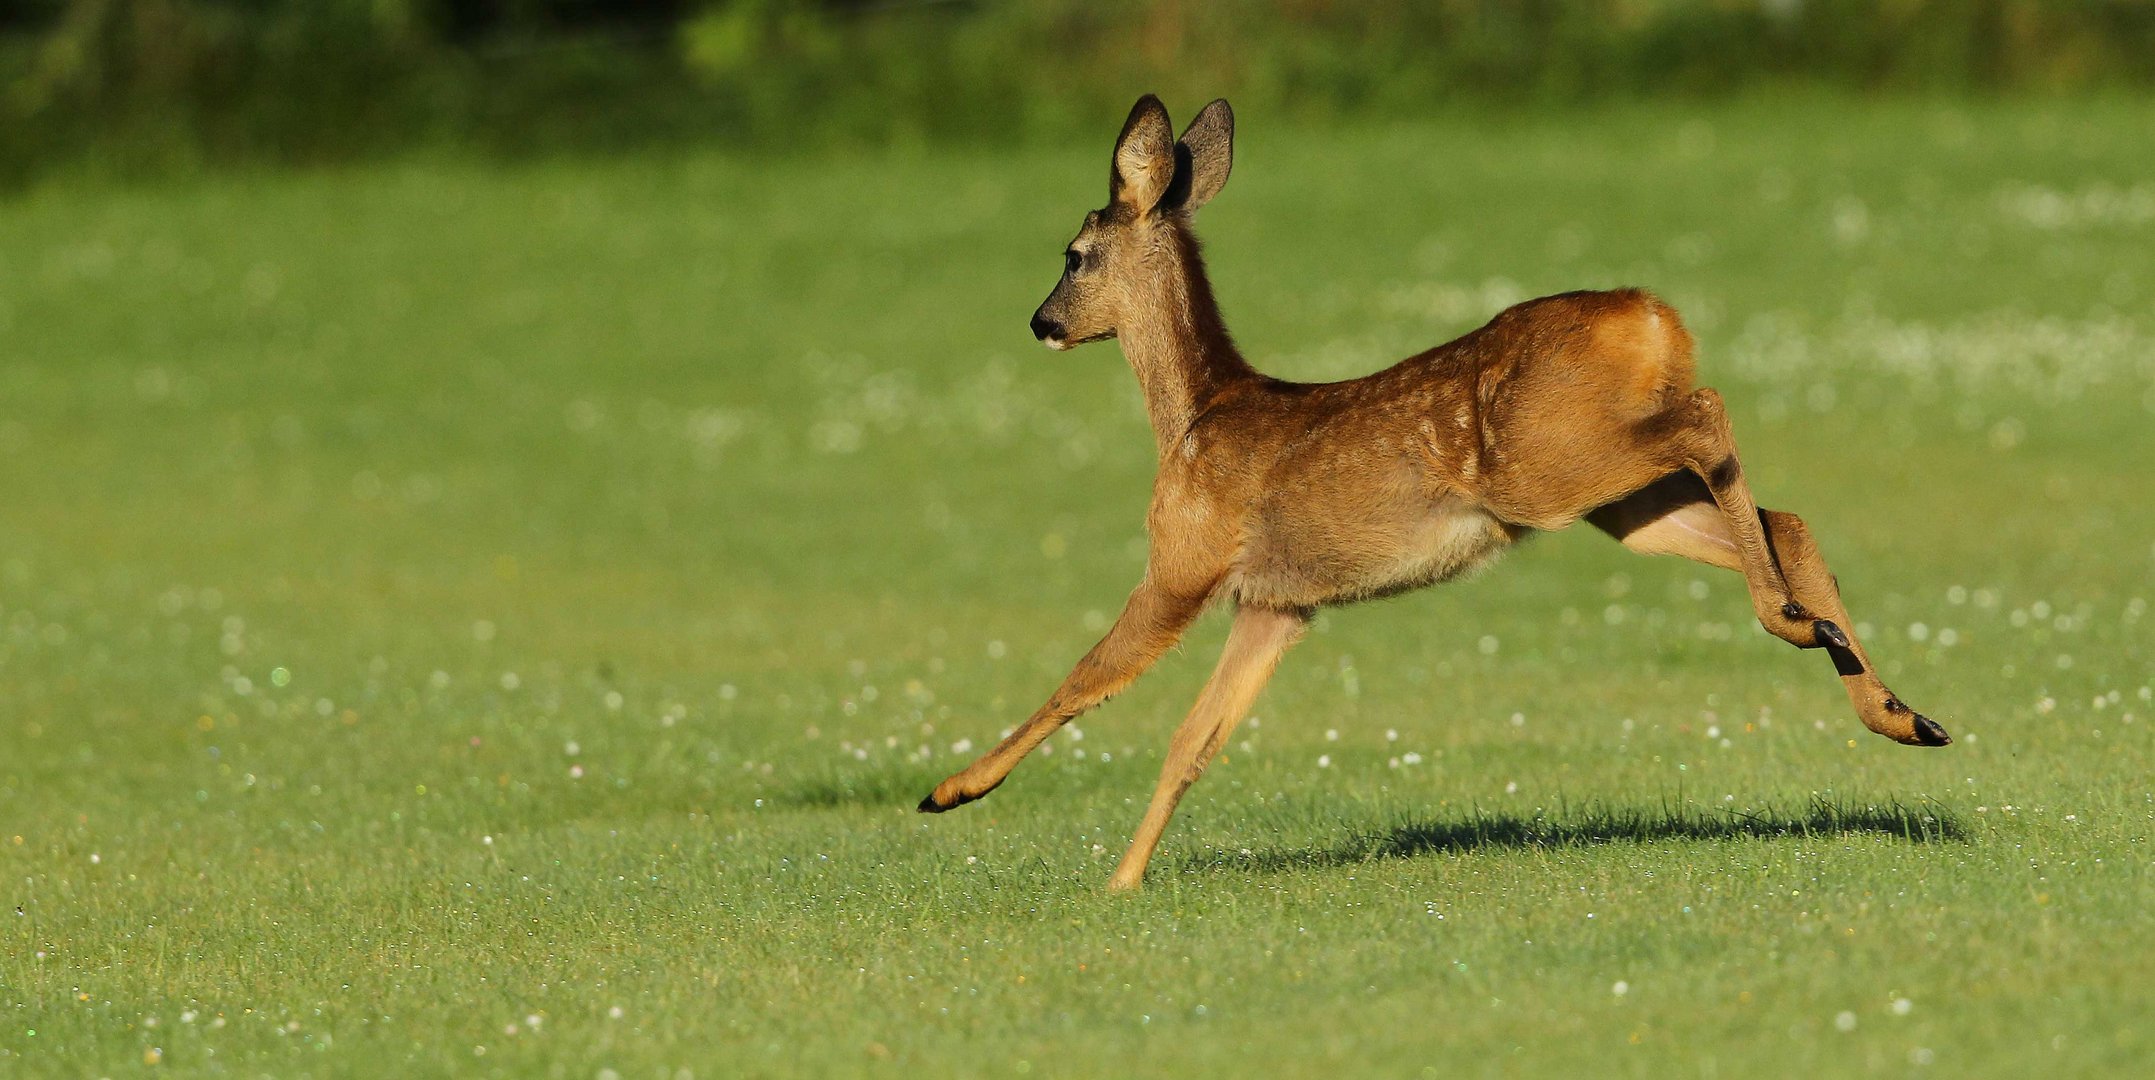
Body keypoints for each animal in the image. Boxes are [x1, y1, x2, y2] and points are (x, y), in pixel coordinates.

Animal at [913, 92, 1956, 888]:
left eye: (1072, 253)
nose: (1040, 321)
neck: (1196, 417)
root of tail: (1656, 318)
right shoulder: (1277, 604)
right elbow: (1194, 739)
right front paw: (1126, 880)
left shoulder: (1184, 556)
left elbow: (1086, 676)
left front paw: (952, 793)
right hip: (1619, 503)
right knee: (1783, 510)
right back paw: (1896, 707)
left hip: (1549, 466)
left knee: (1708, 417)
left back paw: (1797, 627)